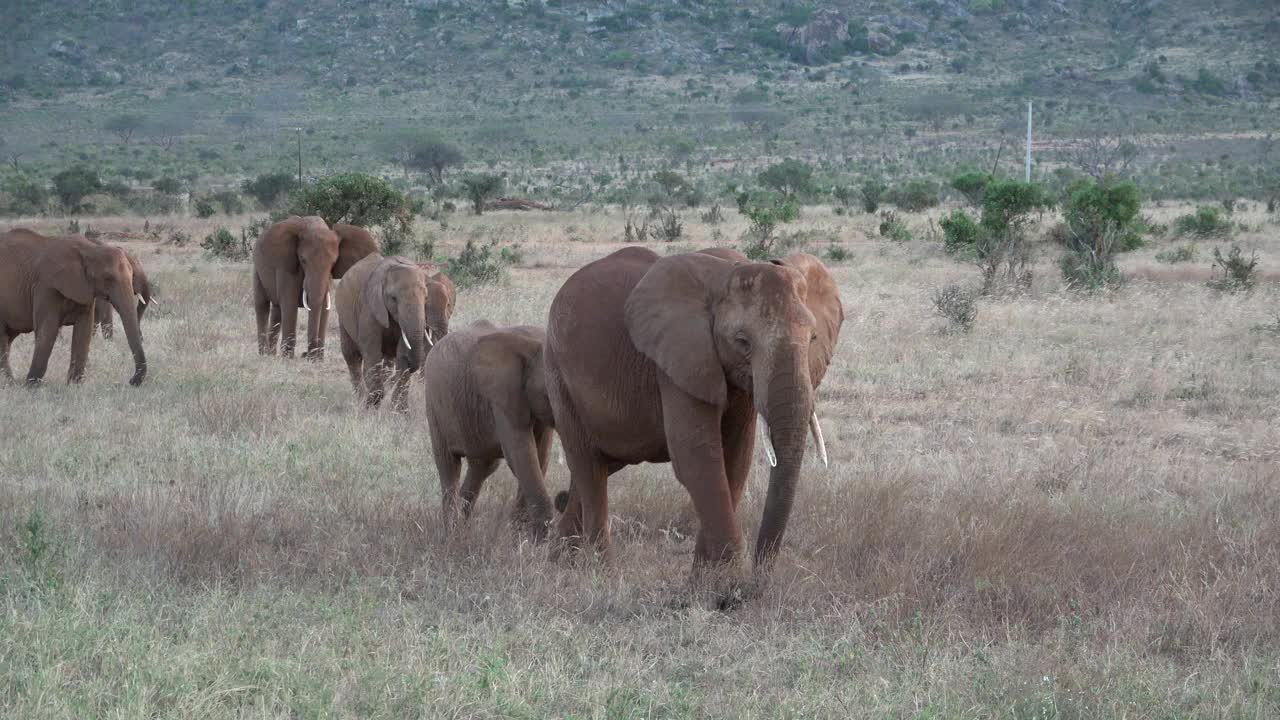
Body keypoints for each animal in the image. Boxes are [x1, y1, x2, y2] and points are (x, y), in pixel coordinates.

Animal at [0, 229, 148, 386]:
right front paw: (31, 386)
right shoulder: (46, 286)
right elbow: (47, 329)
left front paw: (73, 385)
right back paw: (10, 383)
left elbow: (83, 331)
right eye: (108, 278)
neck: (91, 249)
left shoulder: (85, 288)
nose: (131, 381)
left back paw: (9, 382)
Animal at [252, 213, 373, 356]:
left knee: (277, 309)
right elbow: (289, 303)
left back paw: (270, 355)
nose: (305, 354)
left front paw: (316, 358)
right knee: (262, 305)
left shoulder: (328, 277)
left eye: (333, 263)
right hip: (257, 267)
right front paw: (287, 358)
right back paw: (263, 354)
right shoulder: (287, 267)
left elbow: (324, 305)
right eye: (303, 260)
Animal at [332, 253, 453, 409]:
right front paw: (371, 407)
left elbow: (401, 354)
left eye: (425, 297)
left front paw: (399, 411)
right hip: (342, 315)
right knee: (352, 355)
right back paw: (360, 399)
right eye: (393, 298)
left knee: (386, 359)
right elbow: (372, 353)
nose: (412, 364)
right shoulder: (369, 309)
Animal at [424, 320, 555, 538]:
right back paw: (452, 533)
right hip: (436, 406)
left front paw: (519, 533)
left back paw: (463, 525)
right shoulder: (502, 397)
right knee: (448, 465)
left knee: (482, 466)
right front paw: (538, 537)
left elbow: (540, 455)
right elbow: (520, 453)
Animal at [547, 245, 839, 576]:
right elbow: (698, 458)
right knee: (589, 467)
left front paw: (705, 581)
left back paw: (557, 559)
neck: (727, 273)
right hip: (558, 374)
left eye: (813, 338)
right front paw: (728, 586)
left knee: (599, 465)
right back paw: (602, 573)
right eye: (742, 342)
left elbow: (736, 459)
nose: (759, 578)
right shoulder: (679, 361)